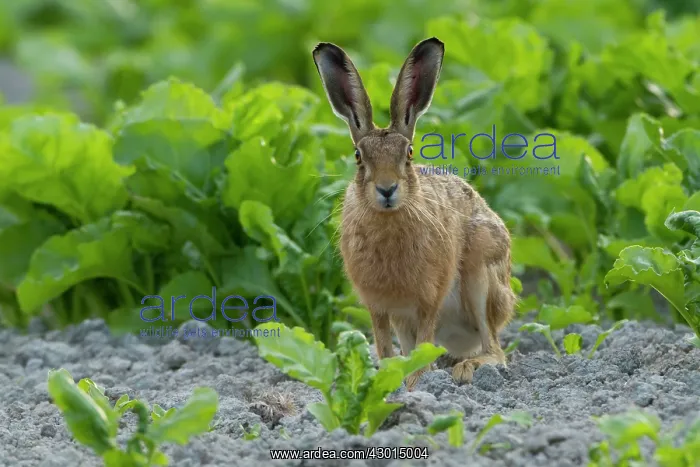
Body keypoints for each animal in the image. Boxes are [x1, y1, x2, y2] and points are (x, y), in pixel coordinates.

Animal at [312, 37, 516, 390]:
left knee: (494, 349)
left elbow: (423, 343)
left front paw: (416, 385)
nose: (387, 189)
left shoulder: (429, 298)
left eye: (408, 153)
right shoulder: (380, 307)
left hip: (482, 276)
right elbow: (385, 347)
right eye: (358, 156)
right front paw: (388, 383)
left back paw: (466, 369)